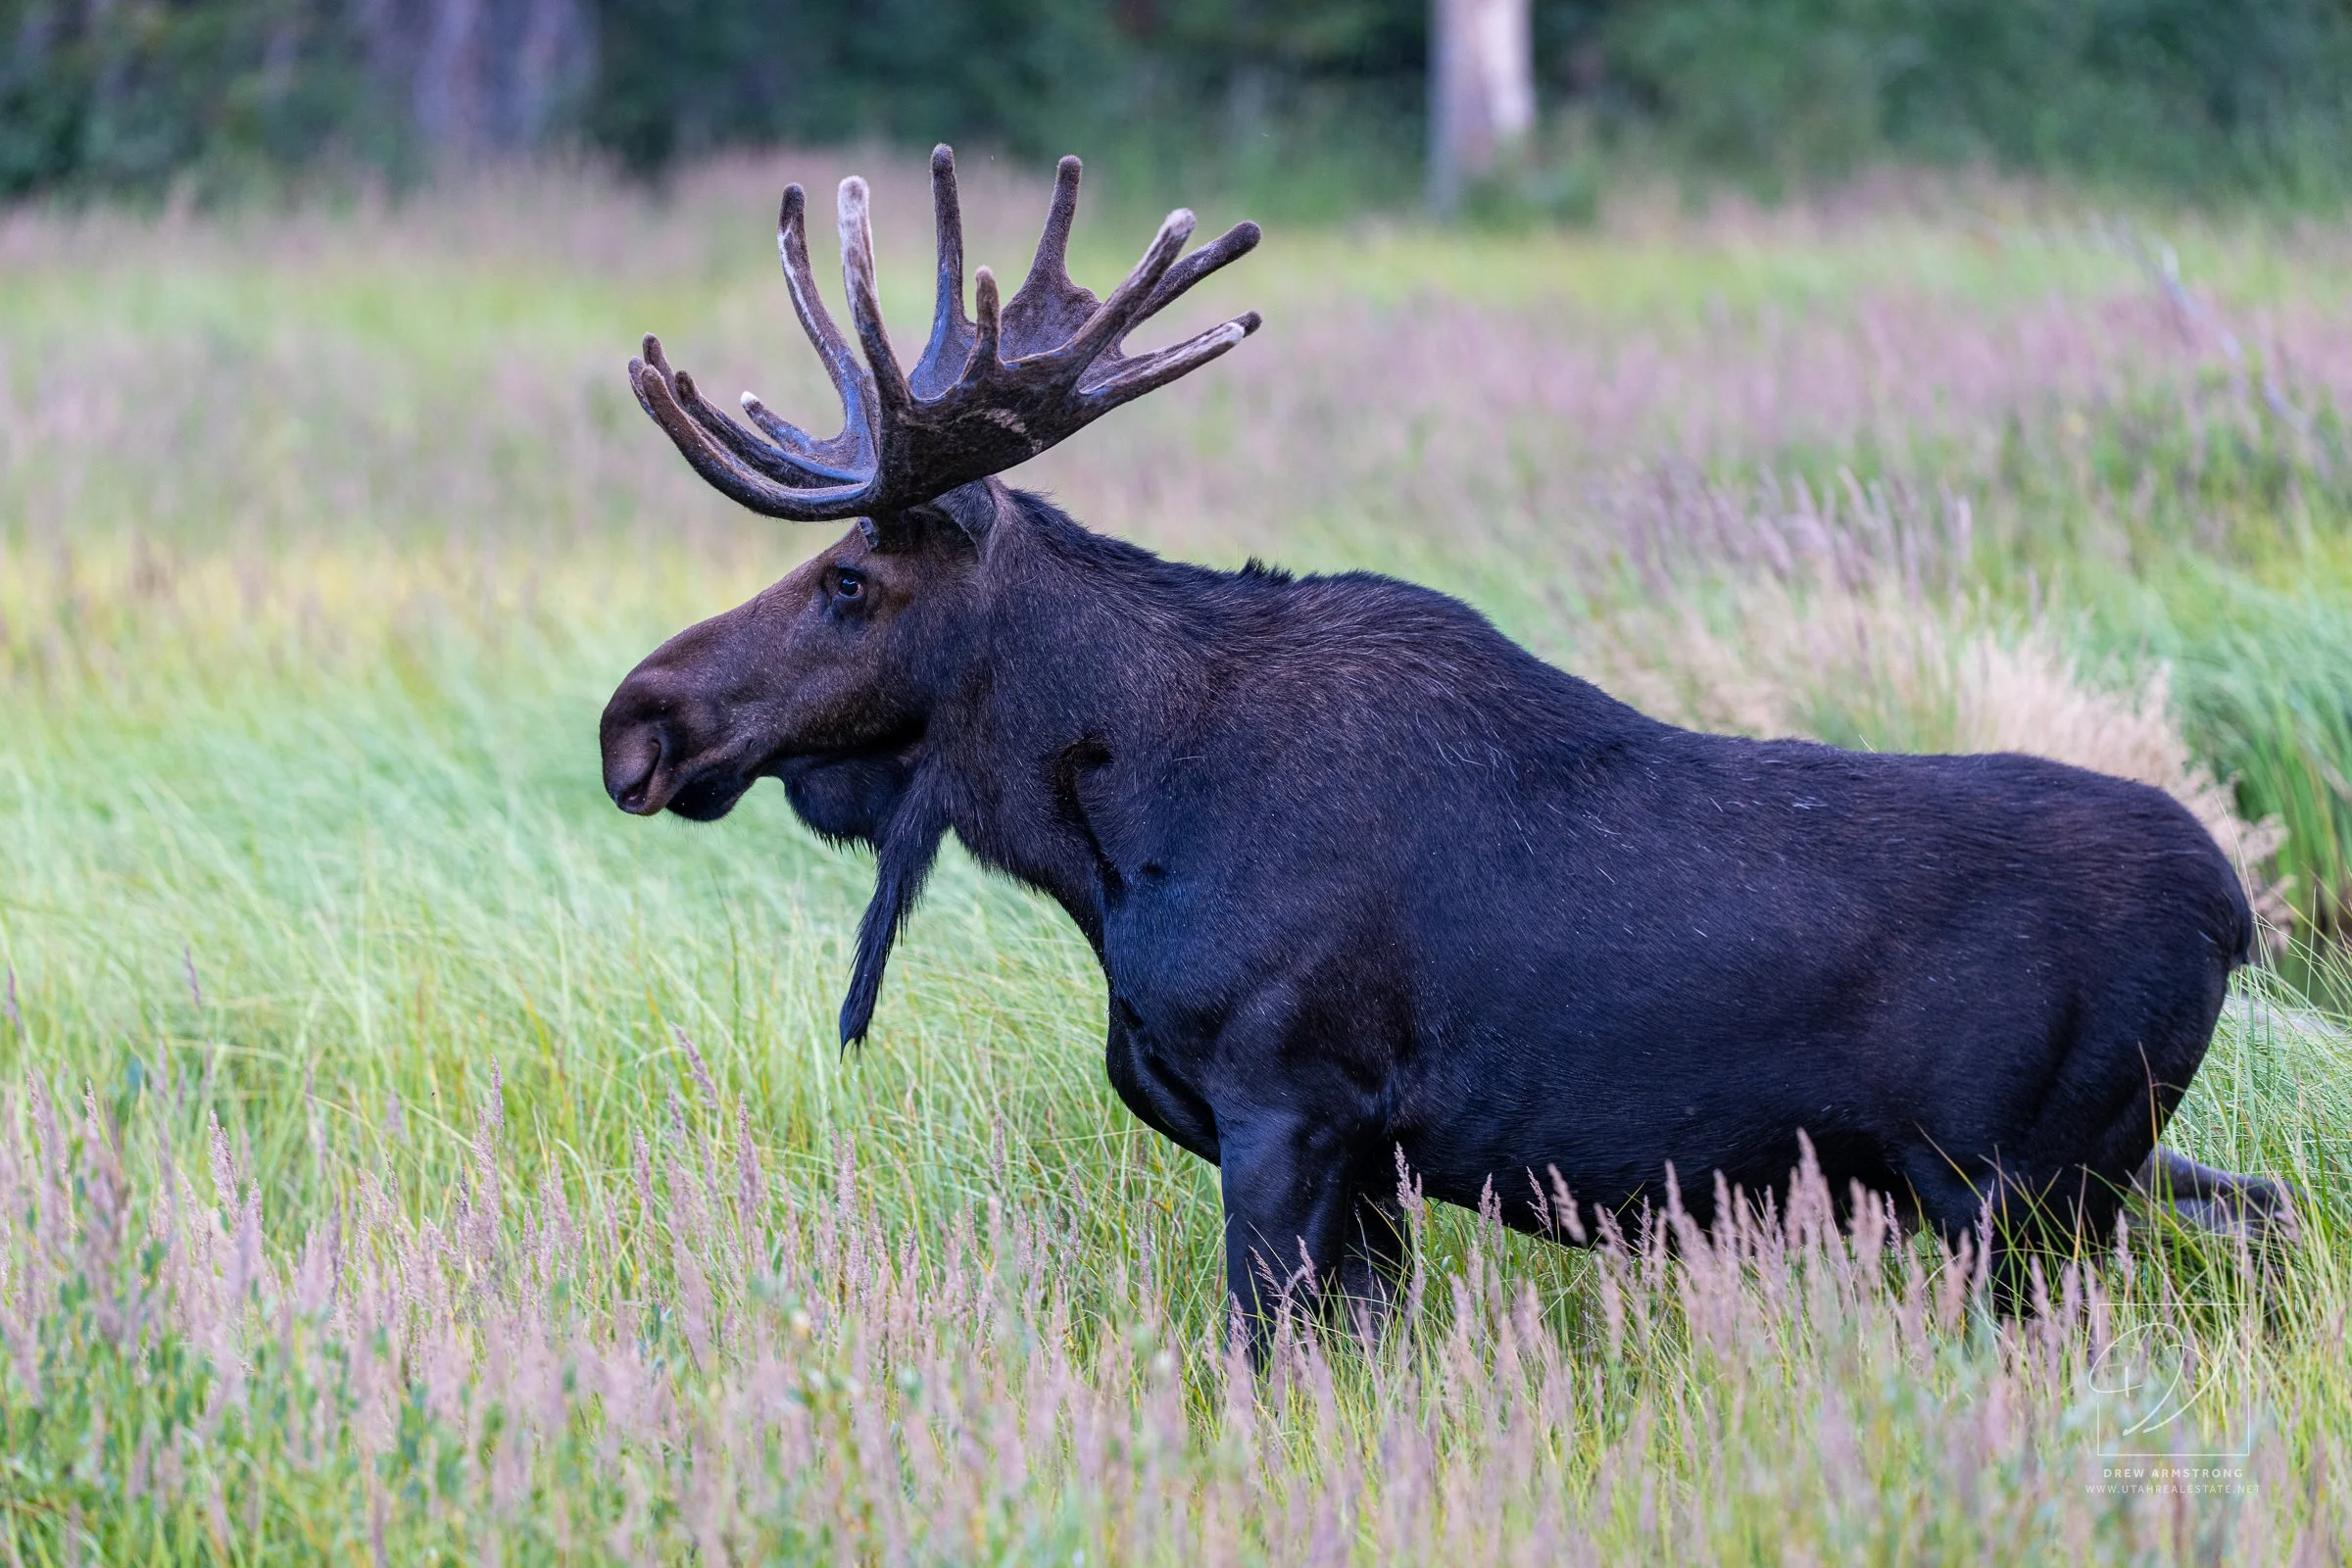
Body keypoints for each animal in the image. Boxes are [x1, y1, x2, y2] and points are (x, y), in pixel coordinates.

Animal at [601, 146, 2295, 1349]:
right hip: (2108, 1169)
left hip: (2020, 1189)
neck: (1110, 834)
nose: (639, 719)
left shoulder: (1291, 1108)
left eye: (850, 581)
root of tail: (2236, 912)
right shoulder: (1371, 1168)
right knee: (2266, 1208)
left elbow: (1256, 1358)